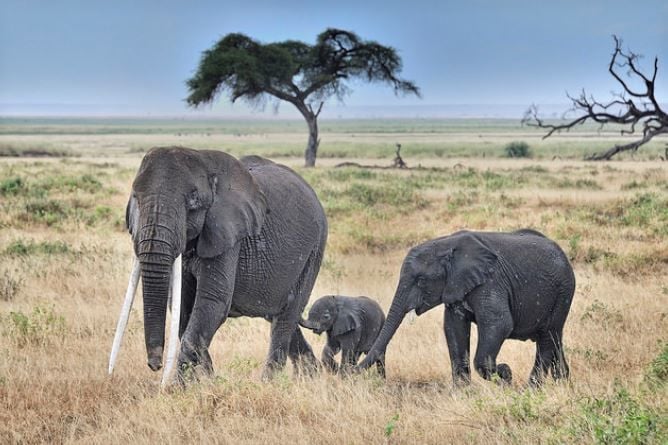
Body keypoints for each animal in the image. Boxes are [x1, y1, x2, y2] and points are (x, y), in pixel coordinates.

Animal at [109, 146, 328, 382]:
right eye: (135, 198)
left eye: (193, 201)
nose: (155, 365)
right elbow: (182, 309)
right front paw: (207, 381)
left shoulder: (228, 233)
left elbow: (212, 301)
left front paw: (179, 387)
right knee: (279, 314)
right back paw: (311, 376)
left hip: (314, 250)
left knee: (287, 316)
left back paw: (270, 383)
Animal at [358, 229, 576, 386]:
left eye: (420, 280)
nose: (351, 373)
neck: (447, 244)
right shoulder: (455, 286)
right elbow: (454, 329)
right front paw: (463, 392)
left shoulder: (491, 281)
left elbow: (499, 324)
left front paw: (505, 374)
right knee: (555, 340)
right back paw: (563, 385)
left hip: (563, 292)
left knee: (547, 338)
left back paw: (532, 389)